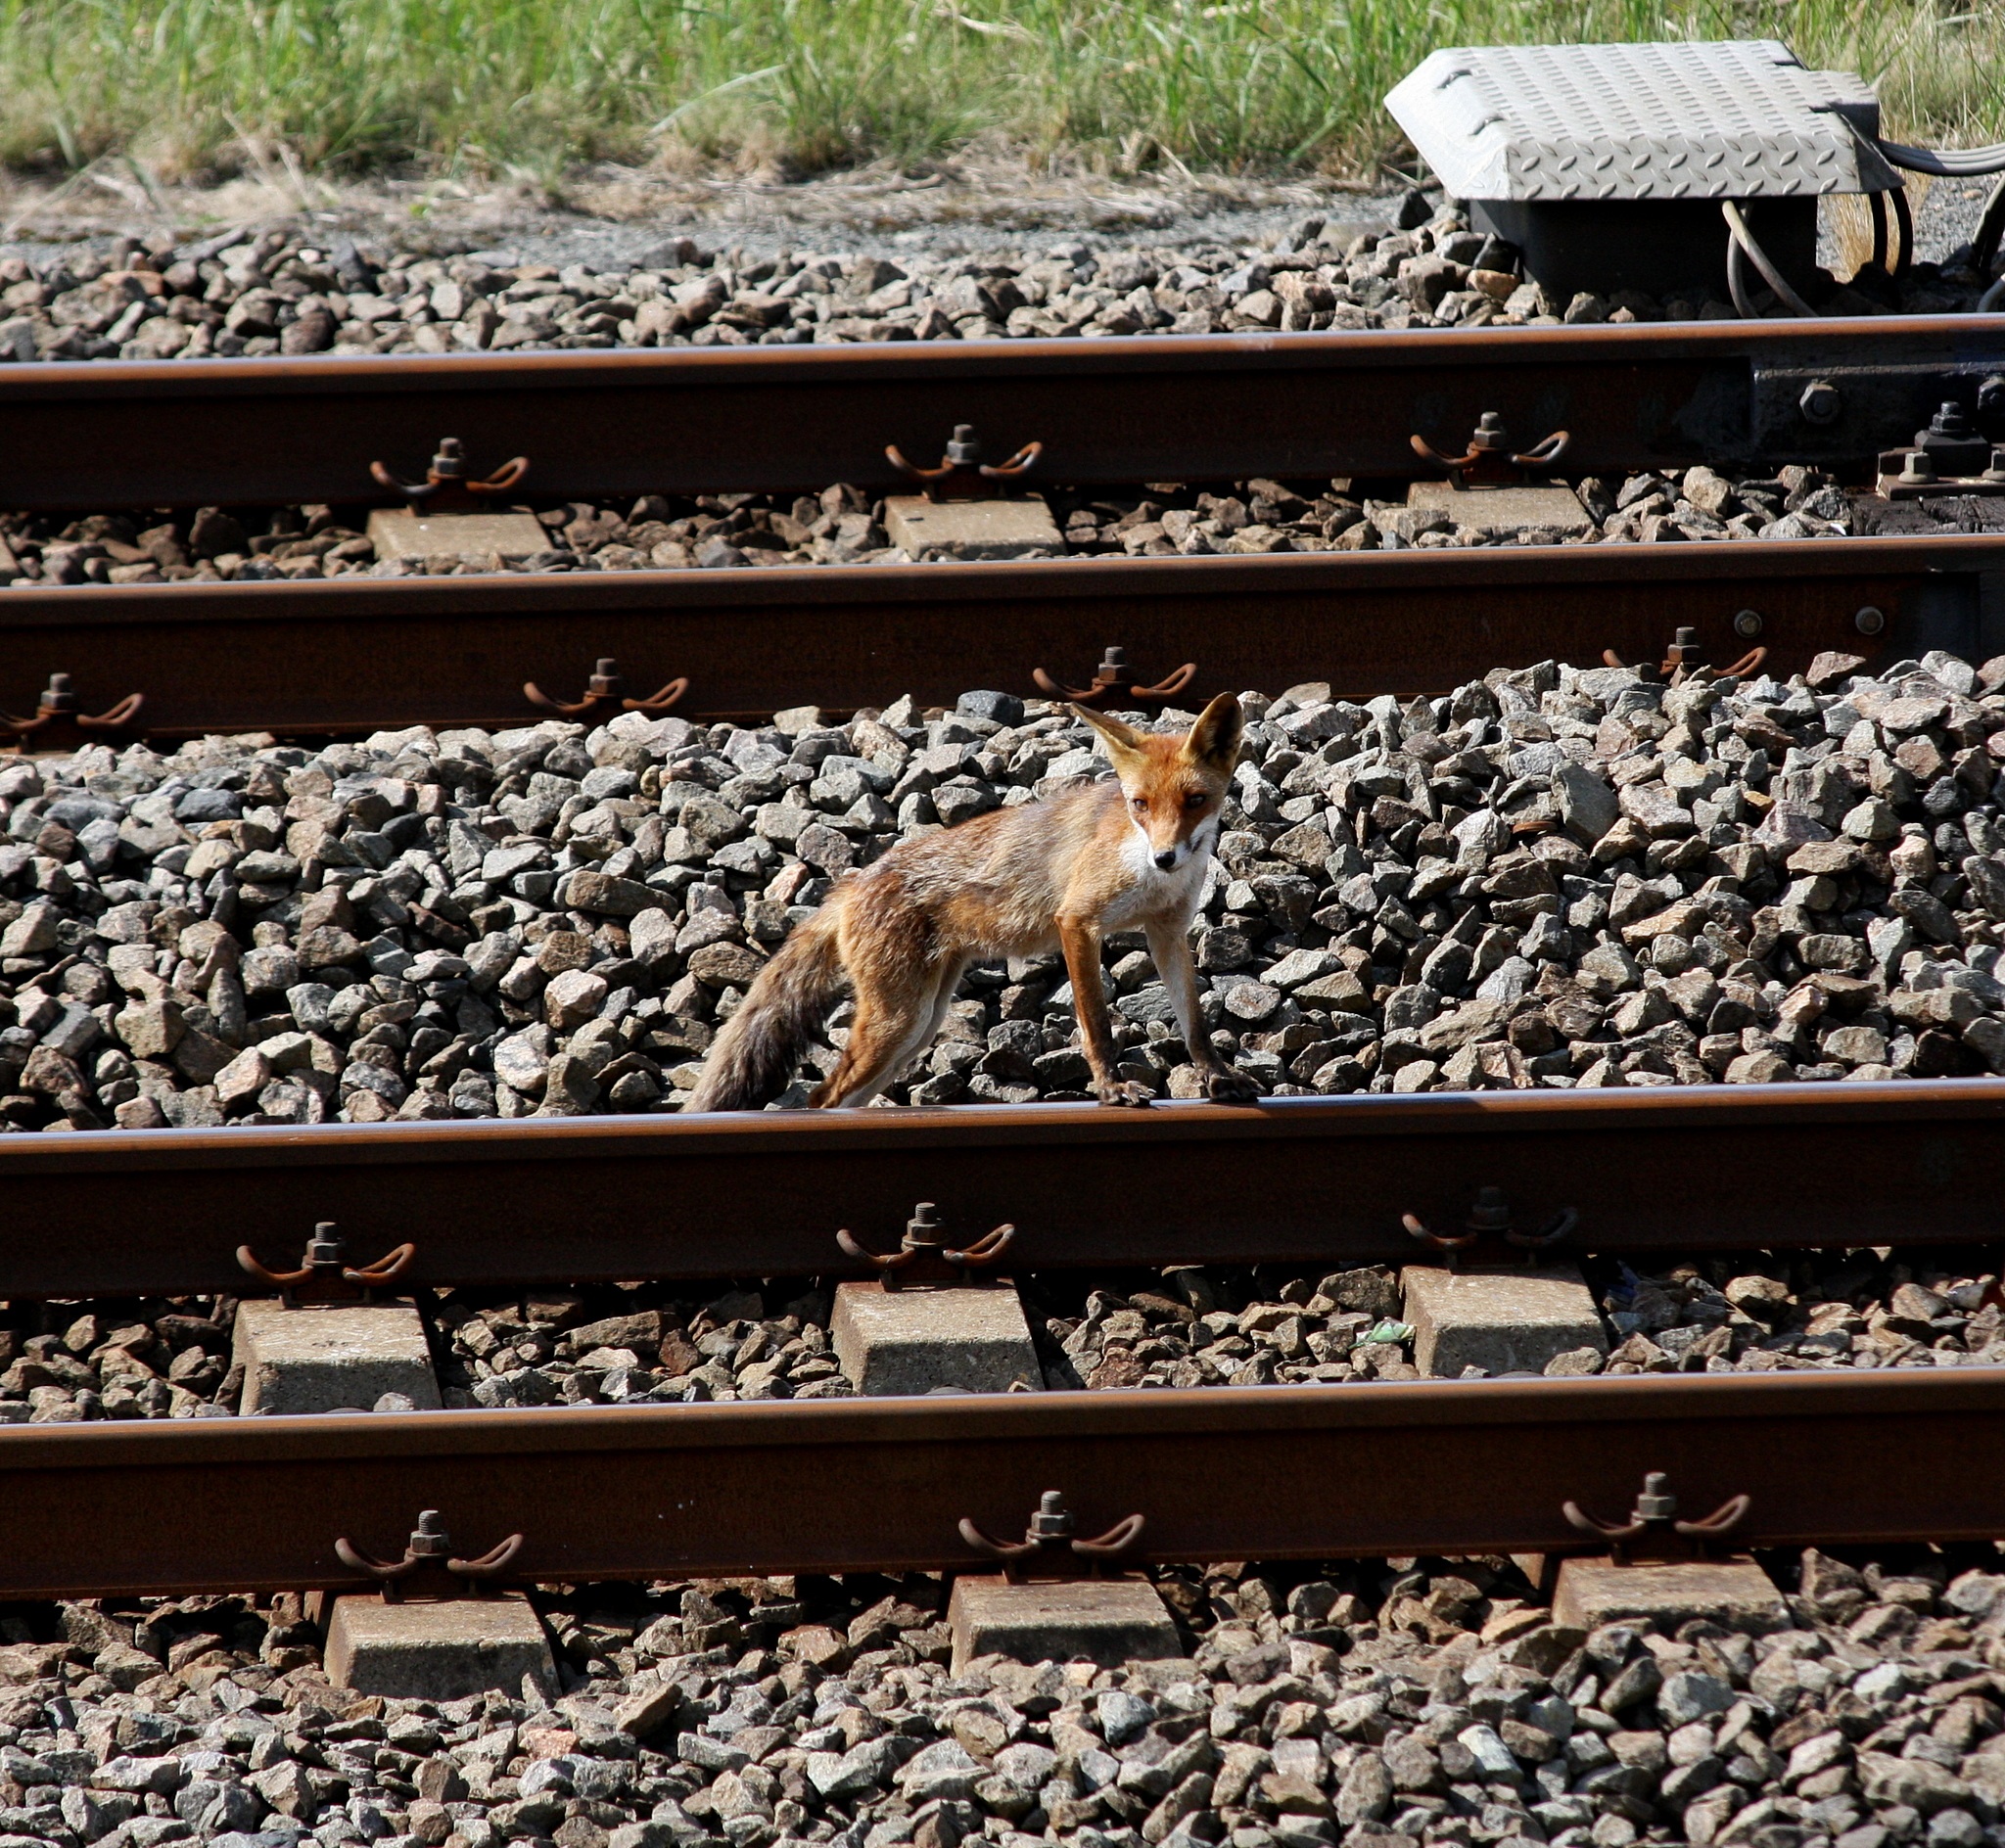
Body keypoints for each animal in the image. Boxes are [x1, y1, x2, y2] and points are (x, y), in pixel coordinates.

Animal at [685, 689, 1250, 1098]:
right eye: (1140, 804)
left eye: (1195, 800)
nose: (1165, 857)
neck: (1147, 872)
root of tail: (854, 883)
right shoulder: (1078, 922)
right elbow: (1095, 1025)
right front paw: (1111, 1089)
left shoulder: (1167, 931)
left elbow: (1195, 1023)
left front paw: (1217, 1078)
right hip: (898, 1022)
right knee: (823, 1096)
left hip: (917, 1027)